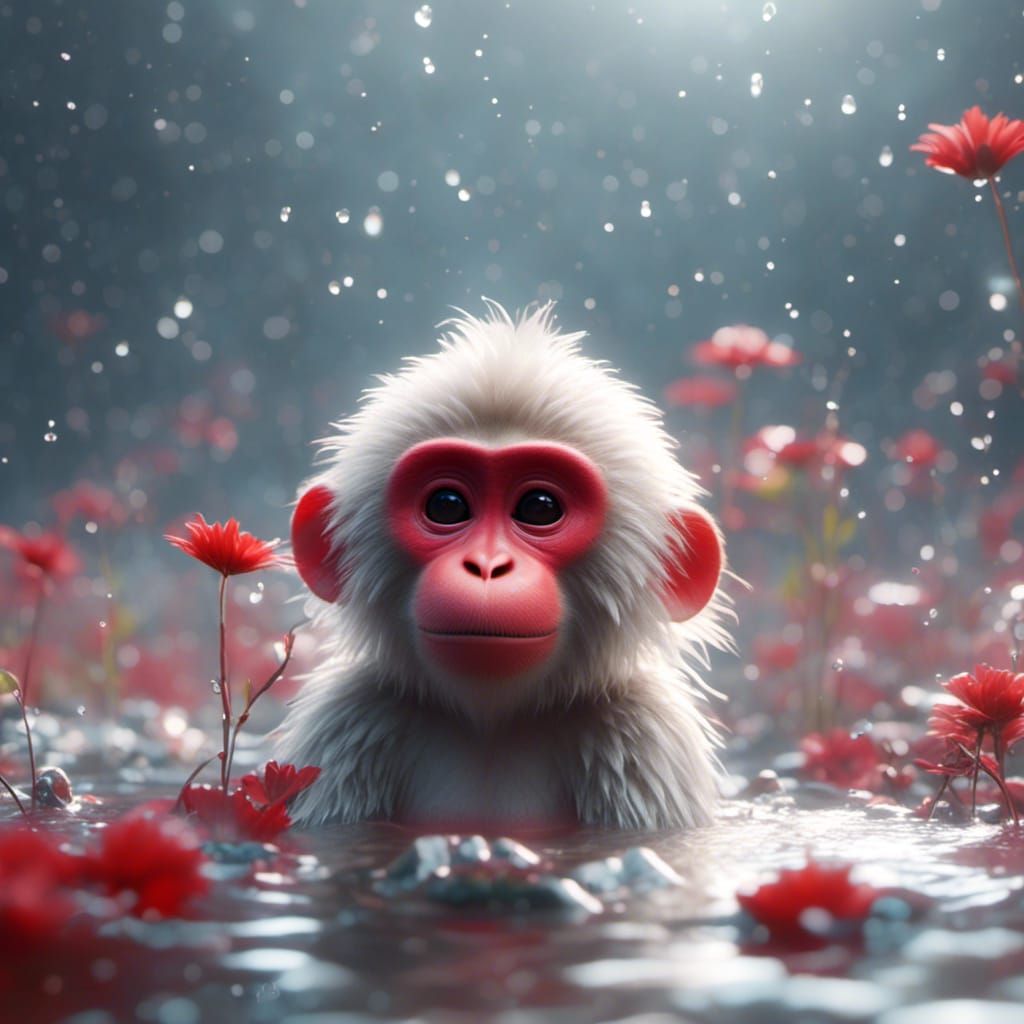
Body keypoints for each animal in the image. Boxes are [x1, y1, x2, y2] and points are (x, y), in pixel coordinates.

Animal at [275, 302, 731, 831]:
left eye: (539, 508)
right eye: (447, 505)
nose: (487, 565)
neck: (490, 729)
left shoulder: (644, 733)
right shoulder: (346, 720)